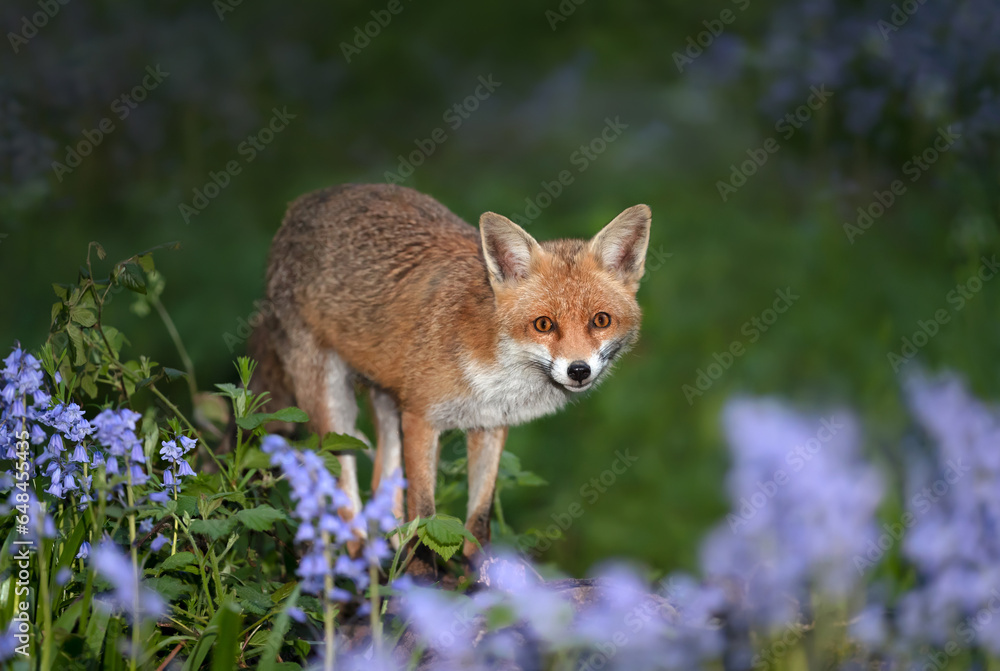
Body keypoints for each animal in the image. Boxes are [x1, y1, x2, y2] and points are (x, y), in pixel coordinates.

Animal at [249, 183, 651, 570]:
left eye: (600, 320)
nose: (578, 370)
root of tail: (305, 202)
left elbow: (479, 517)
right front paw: (425, 576)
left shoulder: (490, 424)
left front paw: (483, 575)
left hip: (387, 402)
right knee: (344, 497)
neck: (493, 370)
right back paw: (362, 564)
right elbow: (425, 514)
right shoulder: (420, 418)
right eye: (543, 325)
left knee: (382, 487)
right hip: (334, 407)